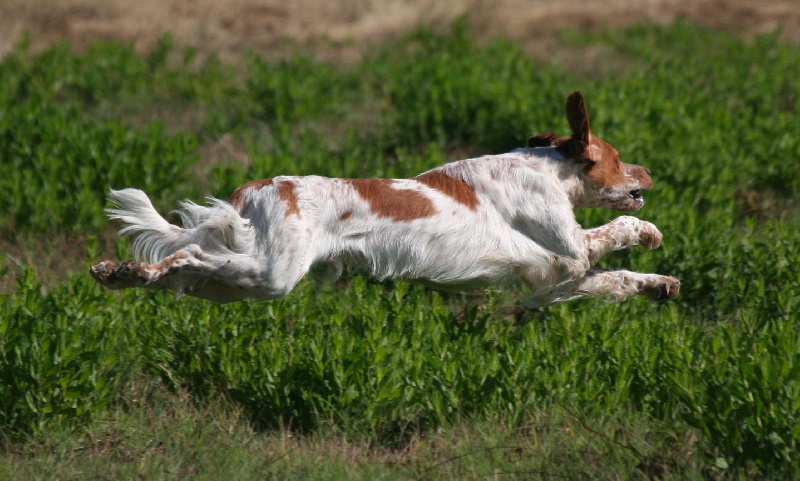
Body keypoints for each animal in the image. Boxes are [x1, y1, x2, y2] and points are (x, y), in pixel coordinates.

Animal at [92, 91, 680, 308]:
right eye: (618, 157)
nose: (650, 171)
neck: (548, 171)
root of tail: (257, 188)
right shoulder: (570, 248)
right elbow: (616, 232)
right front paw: (651, 234)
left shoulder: (549, 285)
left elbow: (620, 278)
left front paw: (661, 283)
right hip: (271, 273)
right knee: (186, 253)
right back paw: (128, 271)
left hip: (236, 284)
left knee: (184, 265)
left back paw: (121, 273)